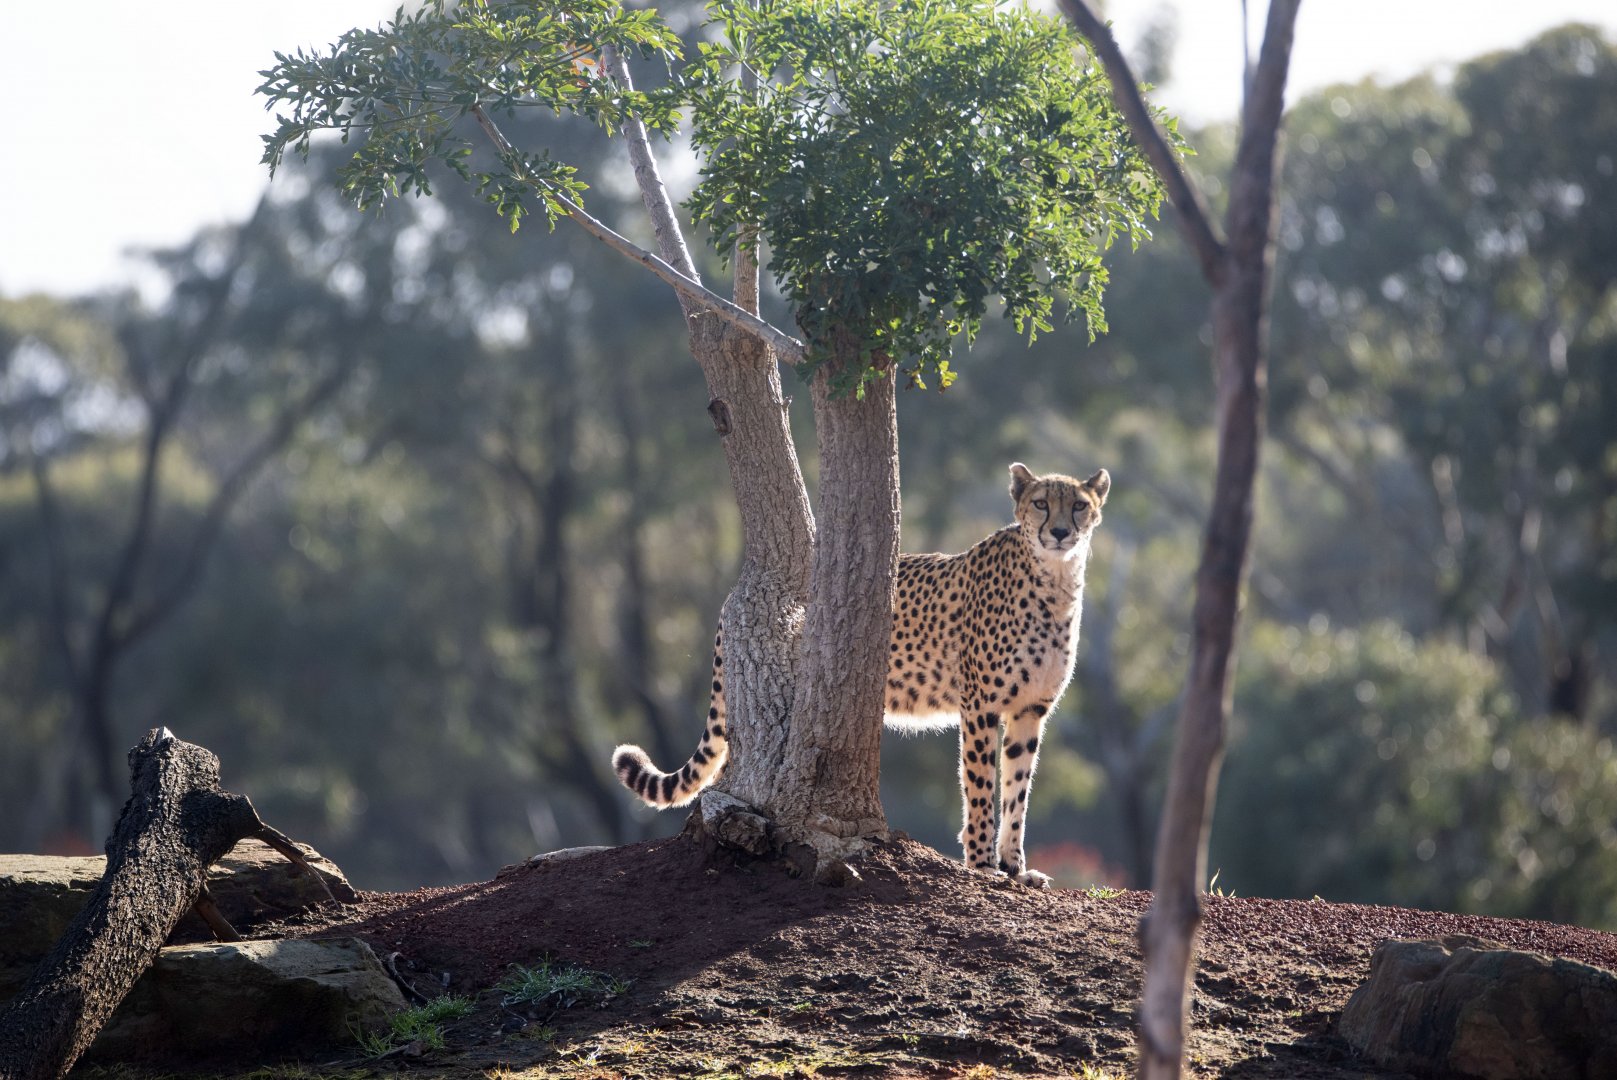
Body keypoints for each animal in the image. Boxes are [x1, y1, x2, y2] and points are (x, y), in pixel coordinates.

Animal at [612, 462, 1110, 887]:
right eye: (1041, 503)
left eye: (1078, 505)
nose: (1060, 532)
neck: (1055, 581)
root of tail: (736, 592)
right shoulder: (981, 708)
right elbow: (983, 788)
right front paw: (984, 866)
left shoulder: (1029, 711)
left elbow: (1017, 792)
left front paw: (1015, 868)